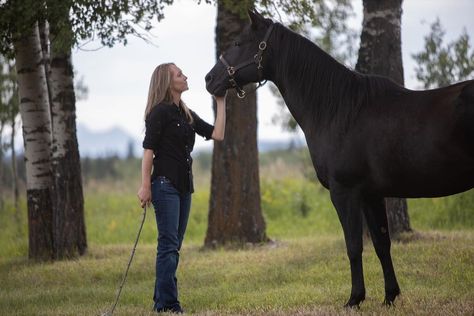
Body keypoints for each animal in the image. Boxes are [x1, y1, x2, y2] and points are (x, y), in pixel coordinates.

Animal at [206, 10, 474, 308]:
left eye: (238, 42)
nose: (209, 79)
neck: (341, 110)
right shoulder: (371, 195)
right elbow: (381, 244)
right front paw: (390, 297)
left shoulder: (344, 192)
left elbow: (354, 246)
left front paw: (355, 299)